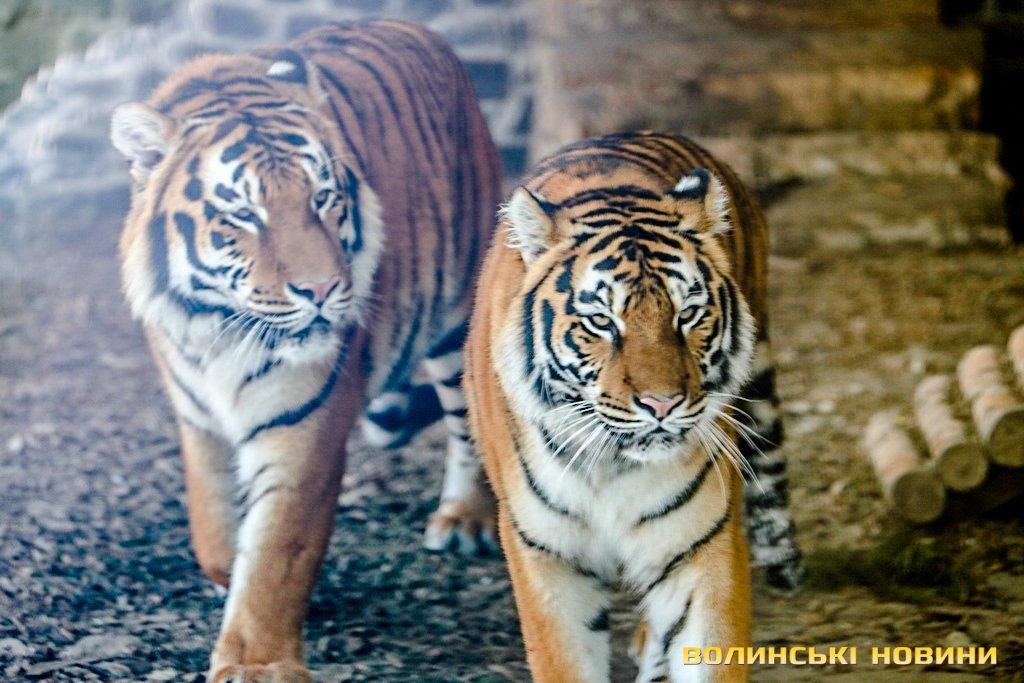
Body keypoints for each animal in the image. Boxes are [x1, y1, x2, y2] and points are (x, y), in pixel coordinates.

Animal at [110, 19, 501, 682]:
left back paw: (464, 520)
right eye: (243, 213)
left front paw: (257, 664)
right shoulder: (195, 415)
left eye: (322, 198)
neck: (219, 331)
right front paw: (228, 576)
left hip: (458, 314)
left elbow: (277, 547)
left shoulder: (302, 422)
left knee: (466, 421)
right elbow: (213, 525)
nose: (323, 290)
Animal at [463, 131, 803, 683]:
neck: (611, 466)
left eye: (688, 314)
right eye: (601, 321)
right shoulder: (547, 556)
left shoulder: (699, 543)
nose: (662, 403)